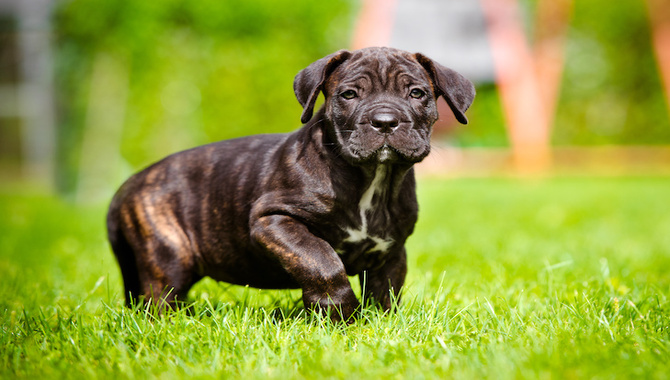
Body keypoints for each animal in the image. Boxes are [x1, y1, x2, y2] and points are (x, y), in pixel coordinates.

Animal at [107, 47, 476, 320]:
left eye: (417, 93)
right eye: (349, 94)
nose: (385, 121)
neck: (371, 178)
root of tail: (130, 183)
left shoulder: (392, 248)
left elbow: (385, 290)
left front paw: (378, 323)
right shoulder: (273, 220)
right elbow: (321, 260)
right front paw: (340, 313)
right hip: (168, 255)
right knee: (159, 297)